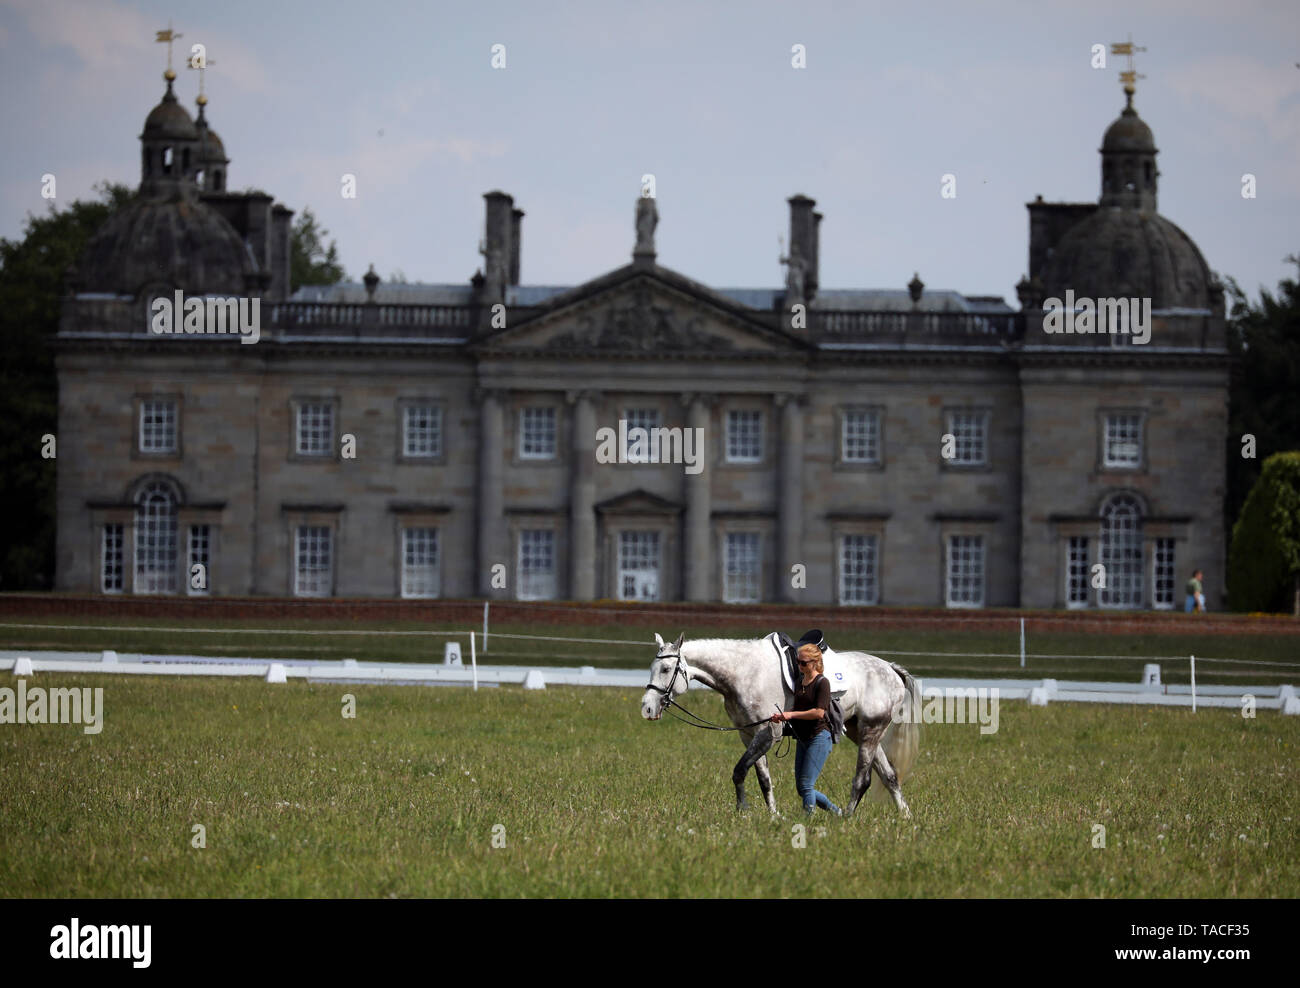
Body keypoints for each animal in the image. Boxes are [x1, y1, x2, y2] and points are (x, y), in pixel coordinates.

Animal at [641, 632, 920, 817]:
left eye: (666, 669)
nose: (647, 708)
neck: (743, 672)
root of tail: (891, 669)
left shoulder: (768, 732)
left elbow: (739, 771)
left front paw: (742, 811)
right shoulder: (749, 734)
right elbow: (763, 778)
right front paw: (772, 815)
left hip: (871, 730)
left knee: (863, 779)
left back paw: (847, 818)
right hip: (858, 731)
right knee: (889, 776)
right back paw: (905, 817)